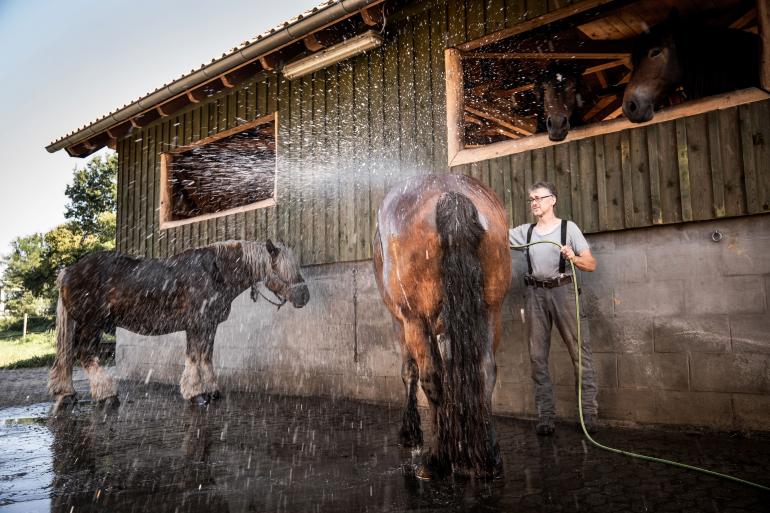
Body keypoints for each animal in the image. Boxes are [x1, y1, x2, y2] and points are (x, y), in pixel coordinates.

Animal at [48, 239, 308, 408]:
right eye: (280, 268)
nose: (304, 296)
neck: (215, 272)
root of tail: (68, 271)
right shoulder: (196, 324)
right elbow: (194, 357)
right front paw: (195, 393)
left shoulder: (209, 326)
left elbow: (206, 357)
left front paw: (212, 391)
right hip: (92, 324)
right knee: (85, 354)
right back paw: (106, 394)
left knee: (68, 356)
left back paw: (68, 393)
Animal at [370, 174, 510, 478]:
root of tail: (449, 194)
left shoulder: (402, 323)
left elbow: (410, 372)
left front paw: (411, 432)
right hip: (491, 311)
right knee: (485, 370)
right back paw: (488, 457)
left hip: (415, 321)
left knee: (431, 376)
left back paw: (435, 459)